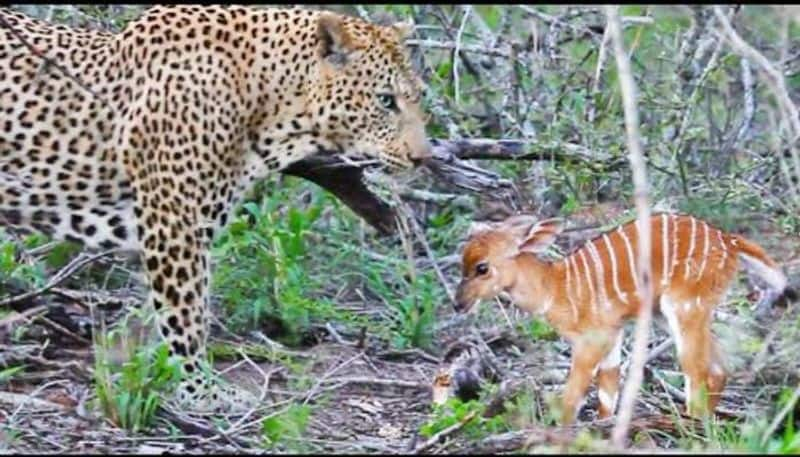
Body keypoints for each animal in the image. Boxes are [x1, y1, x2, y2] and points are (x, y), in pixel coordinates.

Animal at [0, 4, 432, 410]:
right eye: (386, 101)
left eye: (418, 99)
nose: (423, 158)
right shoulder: (175, 223)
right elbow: (187, 315)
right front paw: (202, 392)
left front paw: (131, 367)